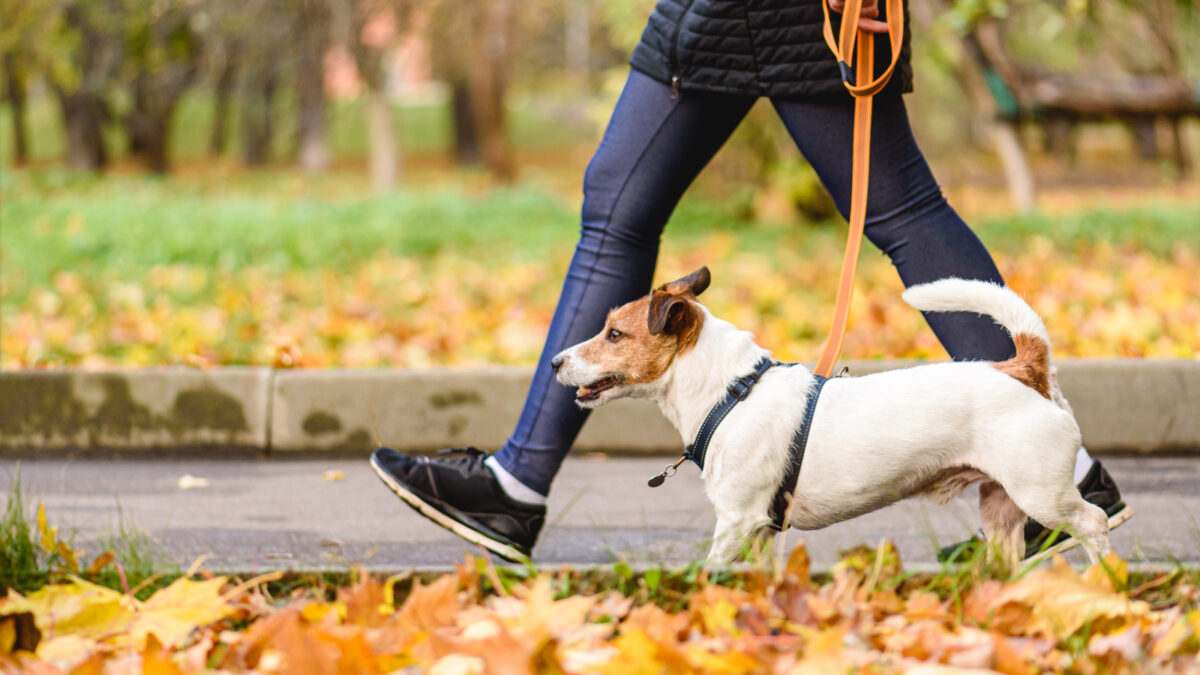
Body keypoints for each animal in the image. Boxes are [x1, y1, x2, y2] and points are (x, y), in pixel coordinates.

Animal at [552, 265, 1113, 564]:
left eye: (614, 334)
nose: (555, 361)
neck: (730, 393)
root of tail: (1023, 367)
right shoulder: (758, 531)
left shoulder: (737, 520)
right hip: (1001, 509)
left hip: (1042, 494)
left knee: (1095, 521)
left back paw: (1107, 579)